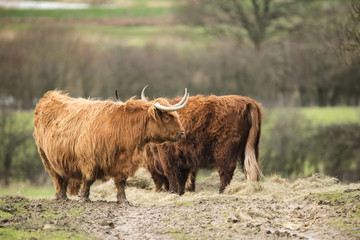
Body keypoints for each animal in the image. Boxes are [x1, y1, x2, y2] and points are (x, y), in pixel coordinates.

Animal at [33, 89, 190, 203]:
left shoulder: (123, 163)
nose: (182, 132)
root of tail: (50, 95)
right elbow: (88, 179)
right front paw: (84, 197)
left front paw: (123, 200)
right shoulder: (89, 160)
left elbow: (121, 182)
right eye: (168, 117)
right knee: (57, 177)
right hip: (46, 157)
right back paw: (61, 196)